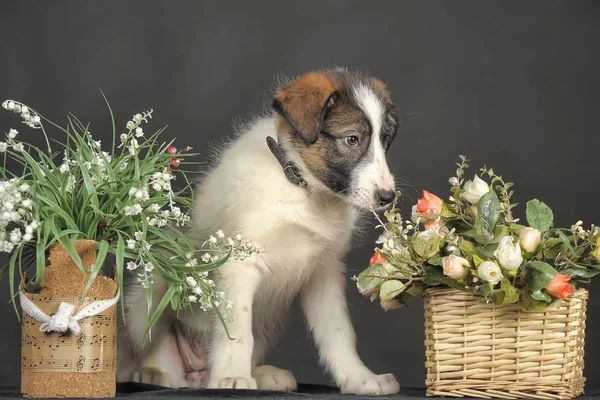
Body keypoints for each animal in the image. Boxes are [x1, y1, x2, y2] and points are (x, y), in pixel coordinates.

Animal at [116, 70, 398, 396]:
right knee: (144, 352)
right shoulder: (239, 261)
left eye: (385, 141)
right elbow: (237, 329)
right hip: (149, 295)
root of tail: (196, 374)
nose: (388, 197)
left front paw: (359, 379)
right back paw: (152, 373)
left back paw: (262, 375)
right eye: (352, 139)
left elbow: (338, 333)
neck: (301, 188)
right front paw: (231, 377)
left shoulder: (324, 272)